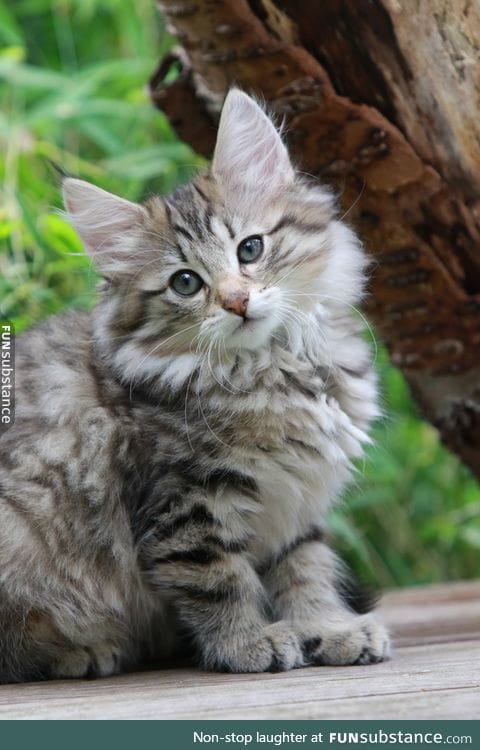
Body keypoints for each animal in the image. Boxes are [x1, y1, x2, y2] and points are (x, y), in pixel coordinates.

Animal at [0, 88, 390, 680]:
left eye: (250, 249)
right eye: (185, 283)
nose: (237, 300)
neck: (275, 369)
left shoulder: (295, 506)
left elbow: (307, 570)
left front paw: (331, 629)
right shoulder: (186, 503)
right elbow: (218, 580)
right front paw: (248, 643)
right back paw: (80, 652)